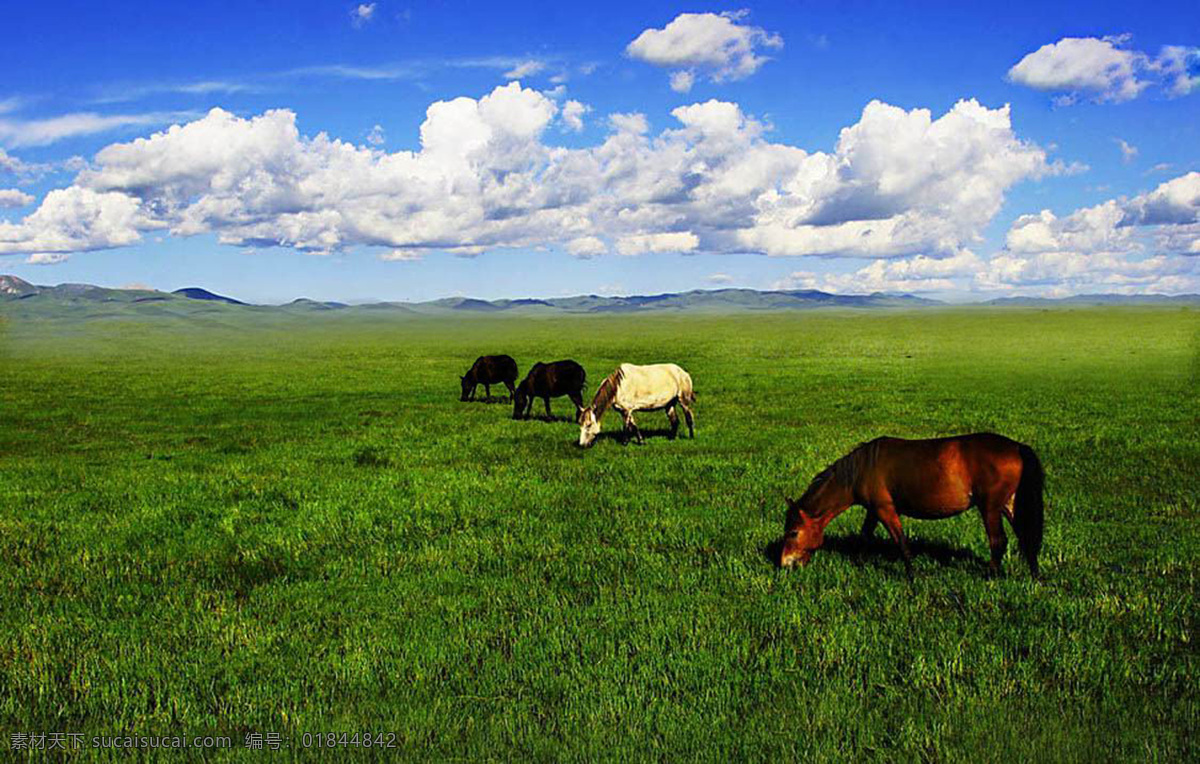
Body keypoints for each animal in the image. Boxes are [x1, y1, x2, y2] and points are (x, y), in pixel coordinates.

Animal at [777, 431, 1041, 575]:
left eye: (793, 533)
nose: (784, 564)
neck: (863, 468)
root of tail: (1016, 447)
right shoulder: (874, 510)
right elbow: (865, 536)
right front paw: (860, 562)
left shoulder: (885, 509)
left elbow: (901, 542)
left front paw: (912, 576)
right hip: (1008, 505)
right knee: (1025, 537)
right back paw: (1035, 576)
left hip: (990, 507)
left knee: (998, 541)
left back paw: (991, 575)